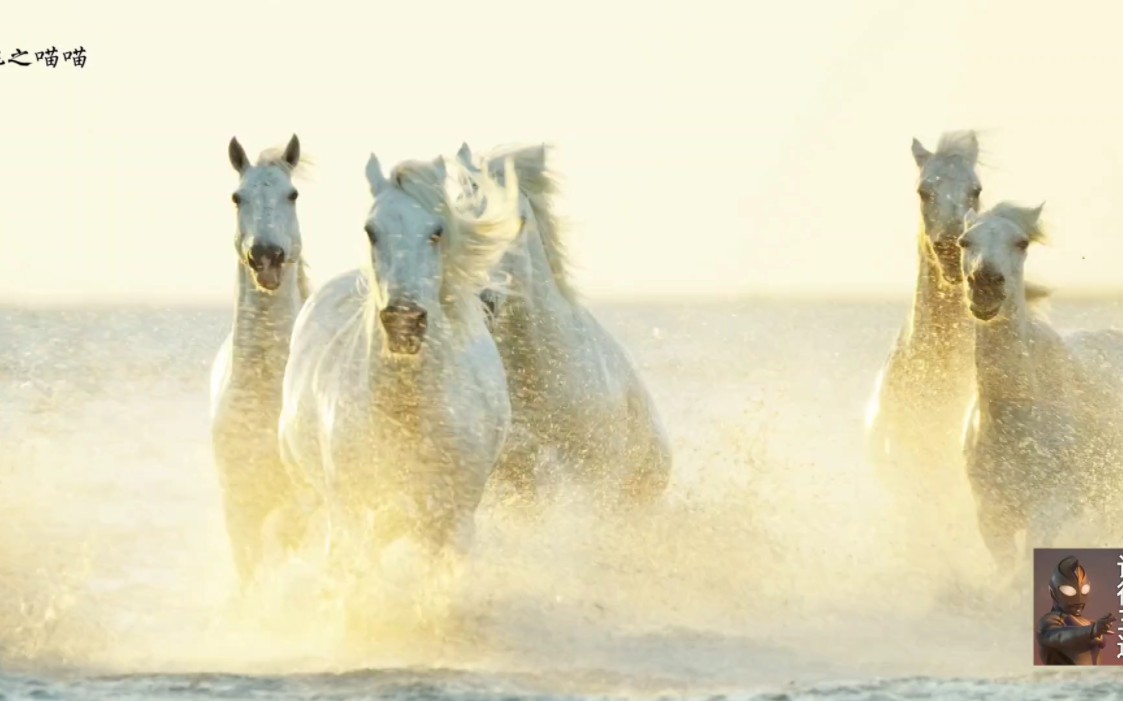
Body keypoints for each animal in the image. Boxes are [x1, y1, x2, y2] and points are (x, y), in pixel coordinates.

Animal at [280, 150, 525, 561]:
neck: (406, 411)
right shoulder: (355, 514)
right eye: (371, 231)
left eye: (437, 231)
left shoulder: (454, 522)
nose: (404, 323)